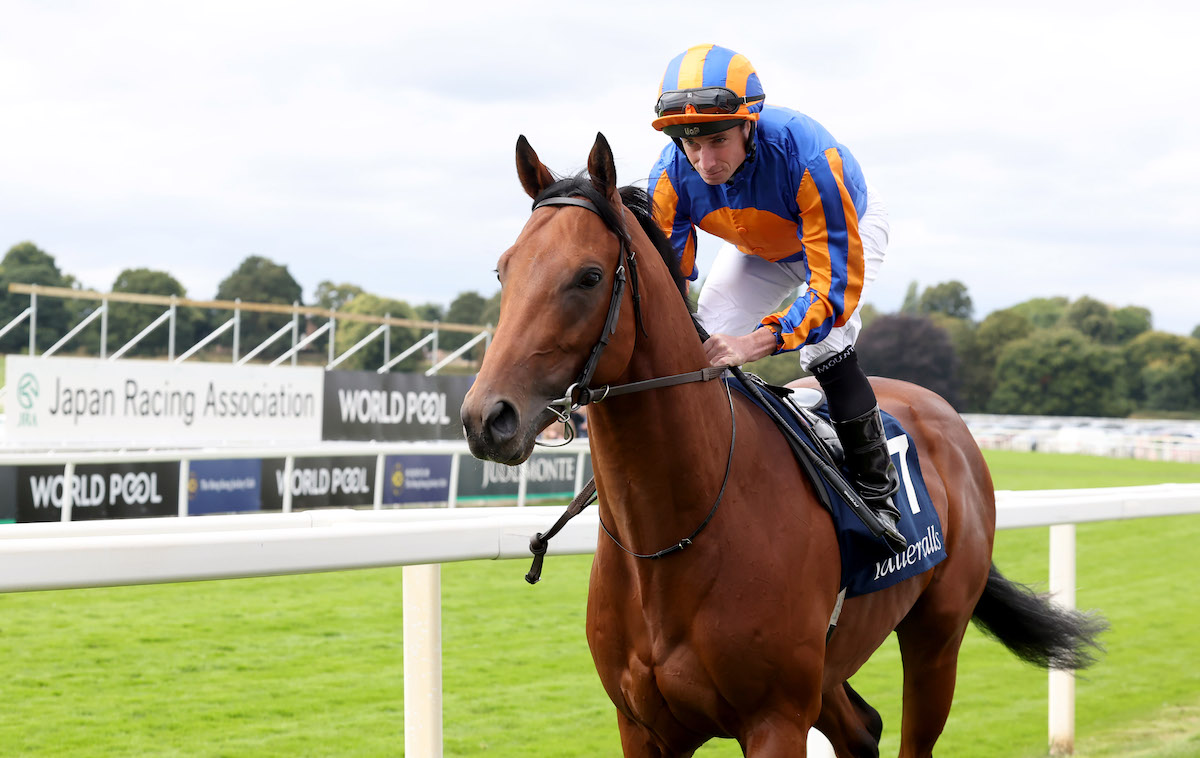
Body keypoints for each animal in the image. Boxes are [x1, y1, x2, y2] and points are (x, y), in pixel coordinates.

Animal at [460, 133, 1104, 753]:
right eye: (503, 270)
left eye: (589, 276)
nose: (486, 417)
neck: (671, 540)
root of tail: (947, 416)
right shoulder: (642, 727)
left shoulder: (776, 718)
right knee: (862, 729)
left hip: (936, 638)